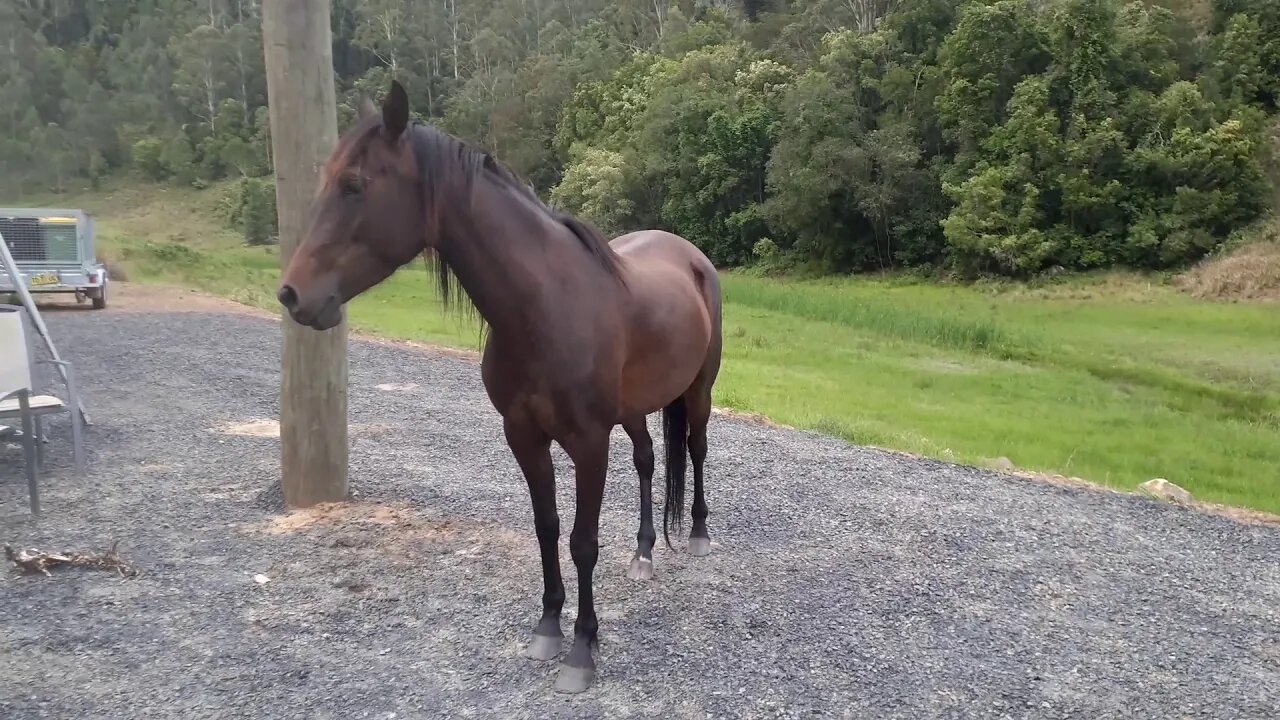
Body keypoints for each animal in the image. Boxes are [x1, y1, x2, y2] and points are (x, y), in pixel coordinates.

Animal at [277, 79, 721, 691]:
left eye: (354, 185)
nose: (293, 295)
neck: (542, 308)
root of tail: (692, 255)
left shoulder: (588, 442)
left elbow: (583, 542)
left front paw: (581, 651)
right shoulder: (523, 435)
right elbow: (547, 527)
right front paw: (548, 628)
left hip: (698, 392)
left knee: (695, 450)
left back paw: (698, 536)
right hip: (634, 410)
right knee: (649, 459)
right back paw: (644, 553)